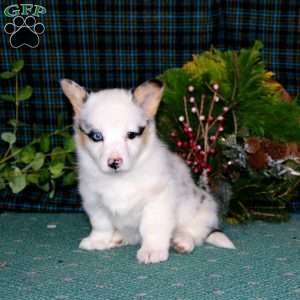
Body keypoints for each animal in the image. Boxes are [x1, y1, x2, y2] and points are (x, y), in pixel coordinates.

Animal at [60, 78, 234, 264]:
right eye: (97, 136)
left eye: (131, 135)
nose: (114, 162)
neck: (120, 179)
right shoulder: (94, 201)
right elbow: (101, 224)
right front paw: (98, 240)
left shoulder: (157, 202)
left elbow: (152, 227)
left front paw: (152, 250)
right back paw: (118, 237)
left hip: (200, 211)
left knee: (195, 233)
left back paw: (182, 241)